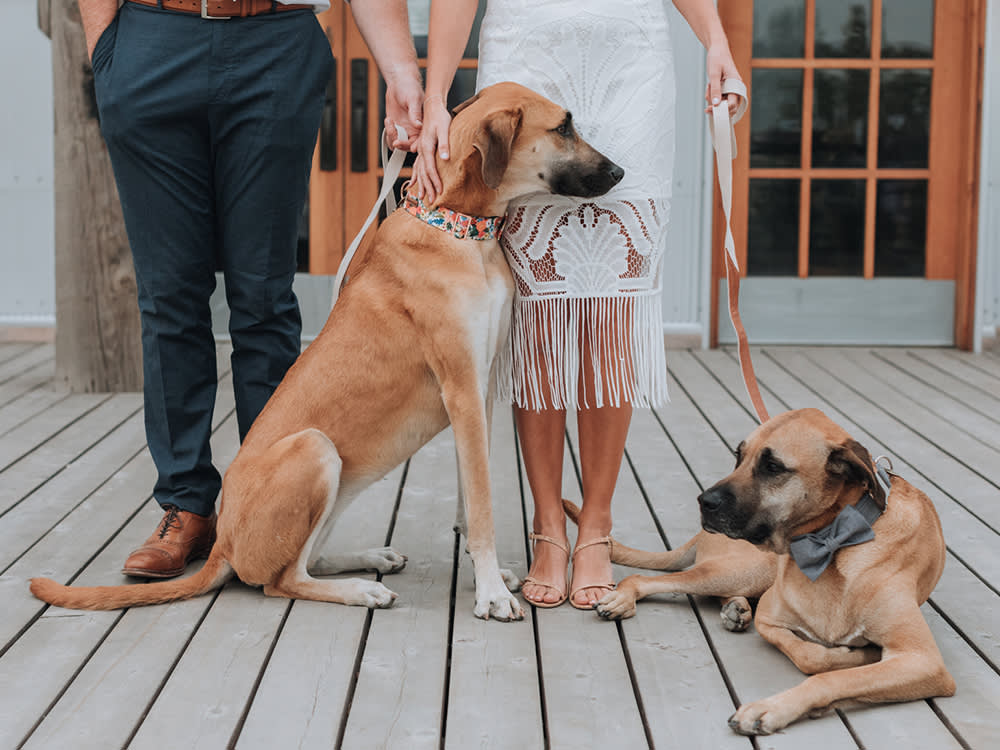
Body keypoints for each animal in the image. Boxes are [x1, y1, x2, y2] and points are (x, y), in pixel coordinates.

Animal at [29, 82, 624, 624]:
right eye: (563, 127)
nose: (620, 173)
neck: (462, 229)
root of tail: (222, 544)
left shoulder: (480, 394)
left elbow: (466, 495)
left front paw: (489, 575)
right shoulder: (462, 392)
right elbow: (480, 506)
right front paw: (491, 594)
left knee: (306, 561)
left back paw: (368, 558)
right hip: (314, 449)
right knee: (281, 581)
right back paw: (361, 589)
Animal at [696, 408, 952, 736]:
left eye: (772, 467)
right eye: (738, 457)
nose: (704, 502)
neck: (833, 542)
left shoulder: (923, 660)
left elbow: (833, 676)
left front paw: (772, 707)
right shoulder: (768, 617)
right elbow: (811, 655)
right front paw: (855, 656)